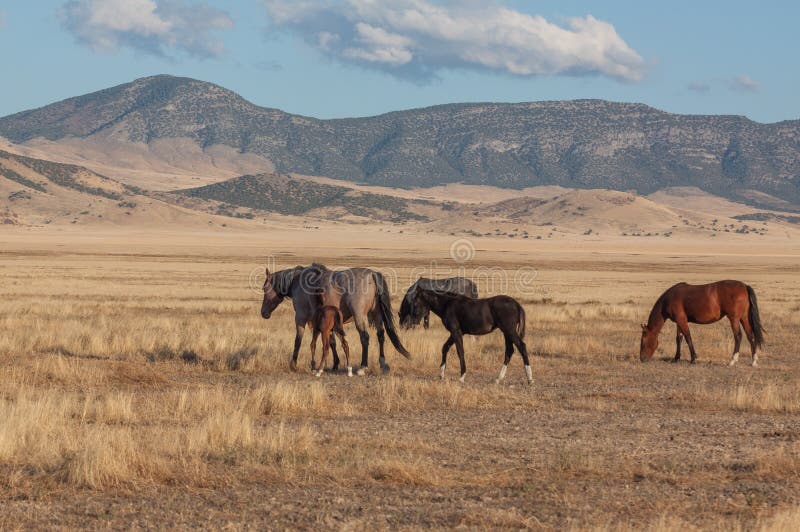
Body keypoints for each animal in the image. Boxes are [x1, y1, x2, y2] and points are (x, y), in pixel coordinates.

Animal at [261, 263, 410, 373]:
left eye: (264, 288)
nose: (263, 313)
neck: (295, 282)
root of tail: (372, 274)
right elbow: (332, 342)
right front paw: (335, 364)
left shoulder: (300, 318)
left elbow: (298, 340)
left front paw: (293, 364)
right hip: (376, 315)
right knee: (381, 335)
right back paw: (383, 363)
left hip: (359, 317)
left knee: (365, 337)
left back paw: (363, 366)